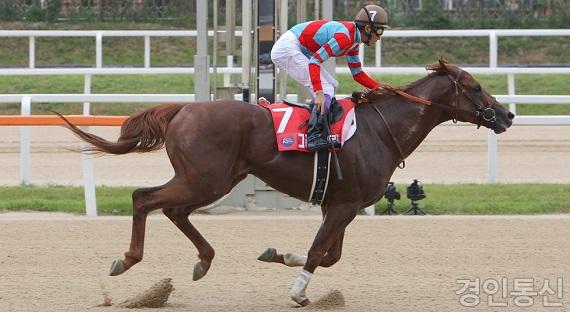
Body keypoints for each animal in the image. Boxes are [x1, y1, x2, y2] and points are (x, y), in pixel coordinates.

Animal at [58, 59, 516, 306]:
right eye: (476, 87)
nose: (508, 115)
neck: (380, 131)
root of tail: (182, 110)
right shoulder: (344, 205)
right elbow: (319, 252)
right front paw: (298, 292)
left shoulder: (341, 204)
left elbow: (328, 256)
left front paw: (276, 254)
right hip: (205, 179)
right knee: (145, 198)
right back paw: (127, 260)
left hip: (213, 179)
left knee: (173, 209)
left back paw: (203, 261)